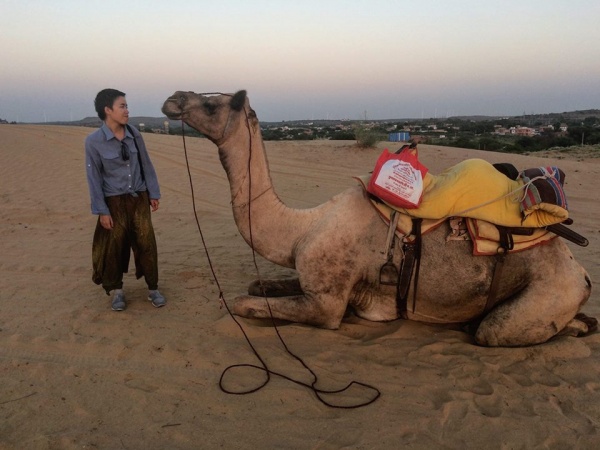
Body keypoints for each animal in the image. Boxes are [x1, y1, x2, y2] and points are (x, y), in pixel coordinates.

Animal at [161, 89, 596, 346]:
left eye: (211, 103)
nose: (173, 98)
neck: (302, 228)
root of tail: (579, 270)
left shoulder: (327, 303)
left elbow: (240, 302)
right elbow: (256, 285)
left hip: (549, 291)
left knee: (494, 329)